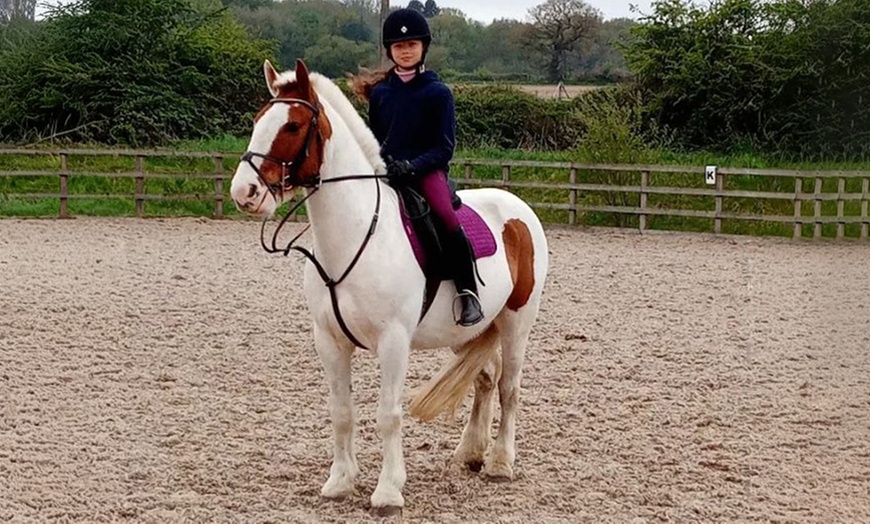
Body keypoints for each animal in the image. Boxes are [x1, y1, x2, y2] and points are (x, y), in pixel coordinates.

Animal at [229, 59, 549, 515]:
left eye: (291, 125)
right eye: (258, 121)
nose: (245, 192)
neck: (355, 235)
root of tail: (518, 208)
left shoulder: (393, 341)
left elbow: (388, 414)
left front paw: (388, 491)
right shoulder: (329, 341)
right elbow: (341, 411)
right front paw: (340, 482)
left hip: (516, 322)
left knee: (509, 387)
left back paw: (500, 463)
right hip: (467, 331)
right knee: (485, 381)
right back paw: (470, 453)